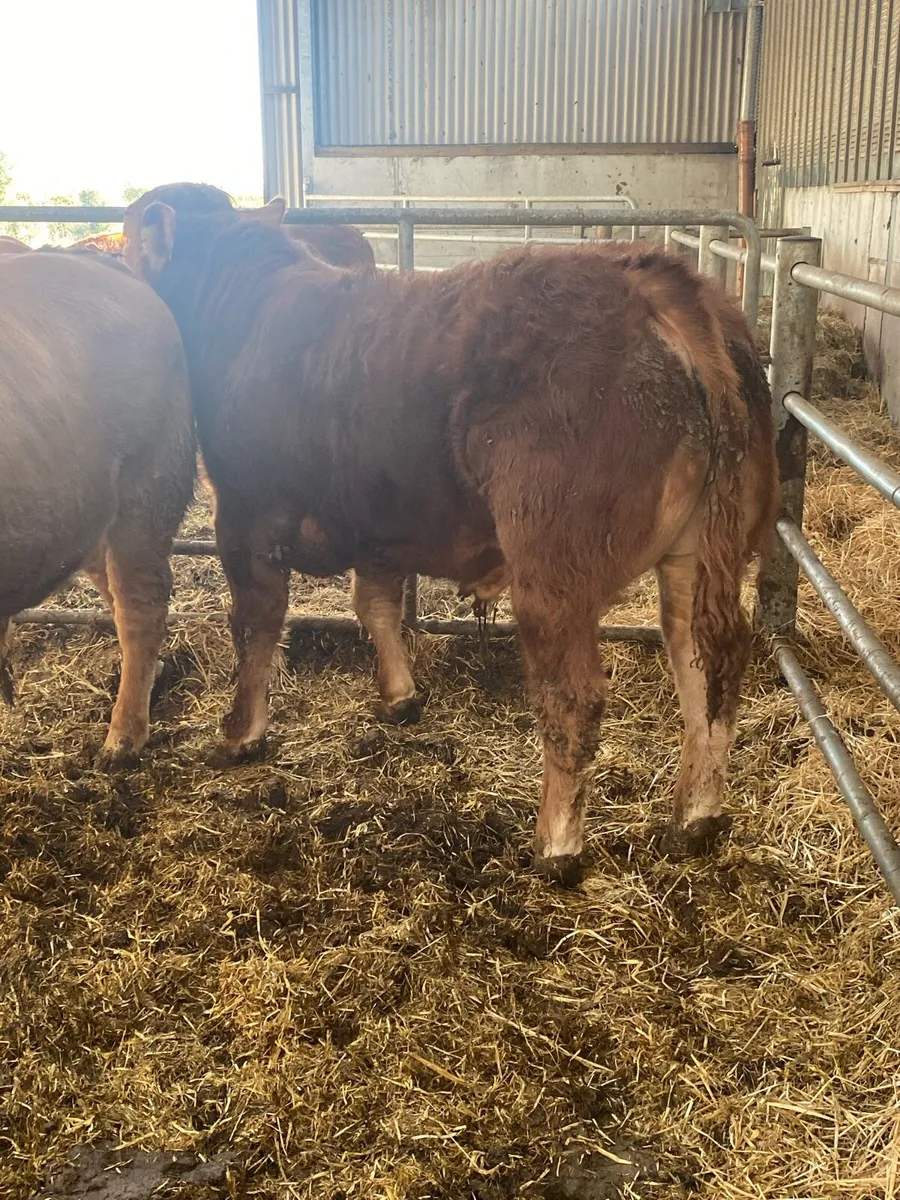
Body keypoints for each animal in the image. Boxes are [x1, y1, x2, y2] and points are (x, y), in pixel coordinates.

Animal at [131, 195, 778, 880]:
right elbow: (375, 604)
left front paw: (239, 732)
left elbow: (255, 625)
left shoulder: (244, 515)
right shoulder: (380, 520)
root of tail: (651, 282)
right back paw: (695, 816)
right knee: (707, 664)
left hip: (552, 569)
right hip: (699, 552)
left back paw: (556, 845)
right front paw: (399, 698)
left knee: (574, 697)